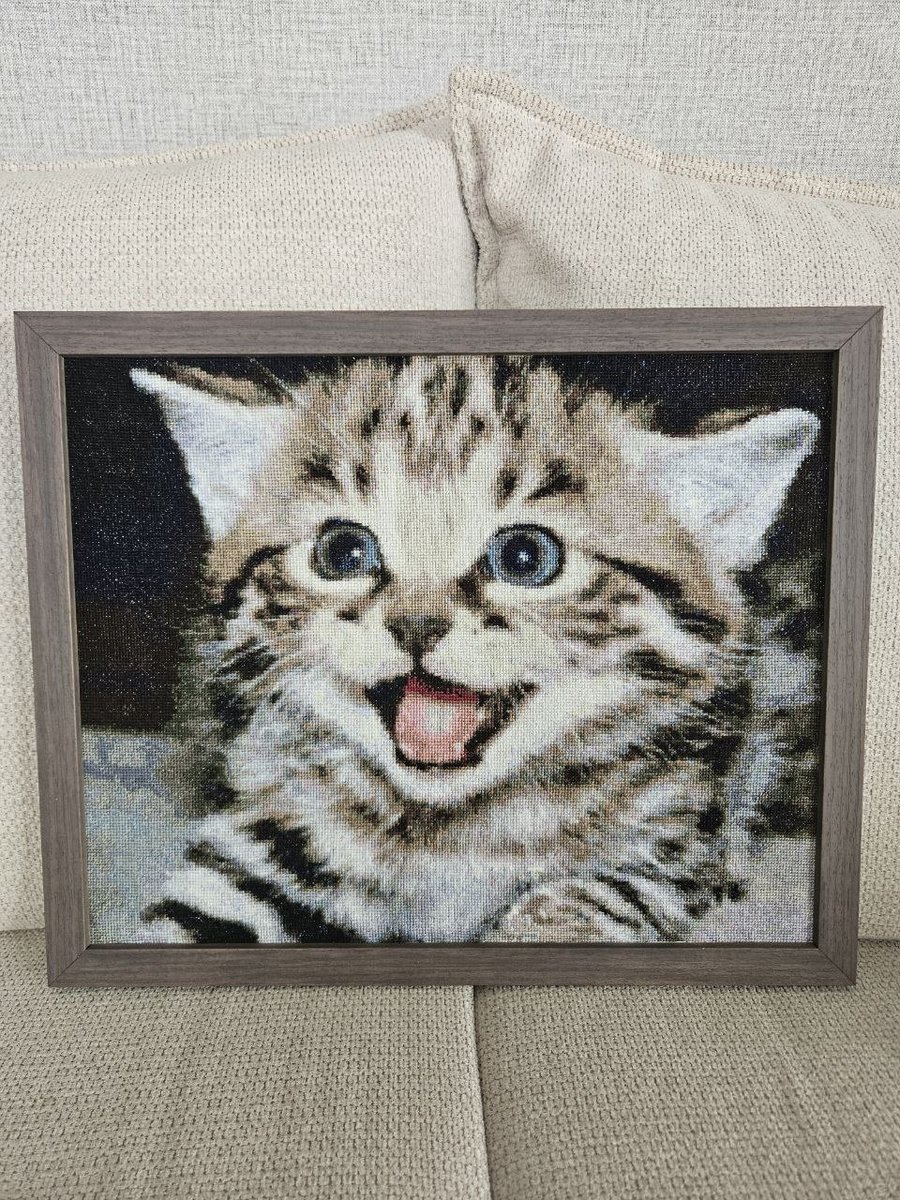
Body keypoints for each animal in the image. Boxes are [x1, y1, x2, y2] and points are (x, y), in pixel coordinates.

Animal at [130, 354, 819, 944]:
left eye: (525, 556)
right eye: (342, 550)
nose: (415, 626)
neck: (445, 830)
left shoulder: (684, 848)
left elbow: (584, 900)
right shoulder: (272, 826)